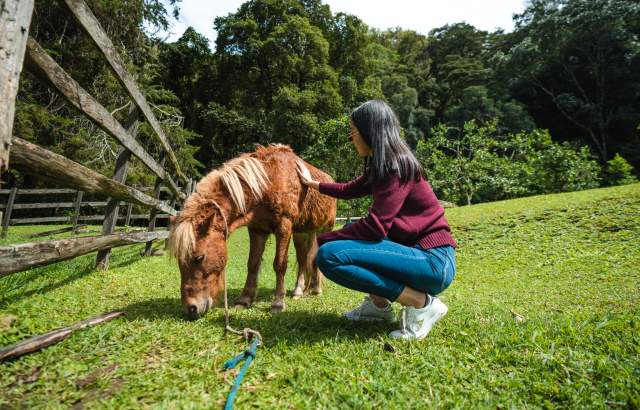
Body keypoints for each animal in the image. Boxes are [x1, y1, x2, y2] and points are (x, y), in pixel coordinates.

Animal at [168, 144, 337, 319]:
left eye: (199, 257)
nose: (191, 308)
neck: (268, 181)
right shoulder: (257, 230)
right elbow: (253, 263)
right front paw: (245, 299)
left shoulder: (283, 227)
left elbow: (280, 264)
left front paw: (278, 302)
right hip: (301, 233)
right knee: (303, 259)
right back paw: (299, 290)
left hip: (323, 230)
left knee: (314, 258)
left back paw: (316, 289)